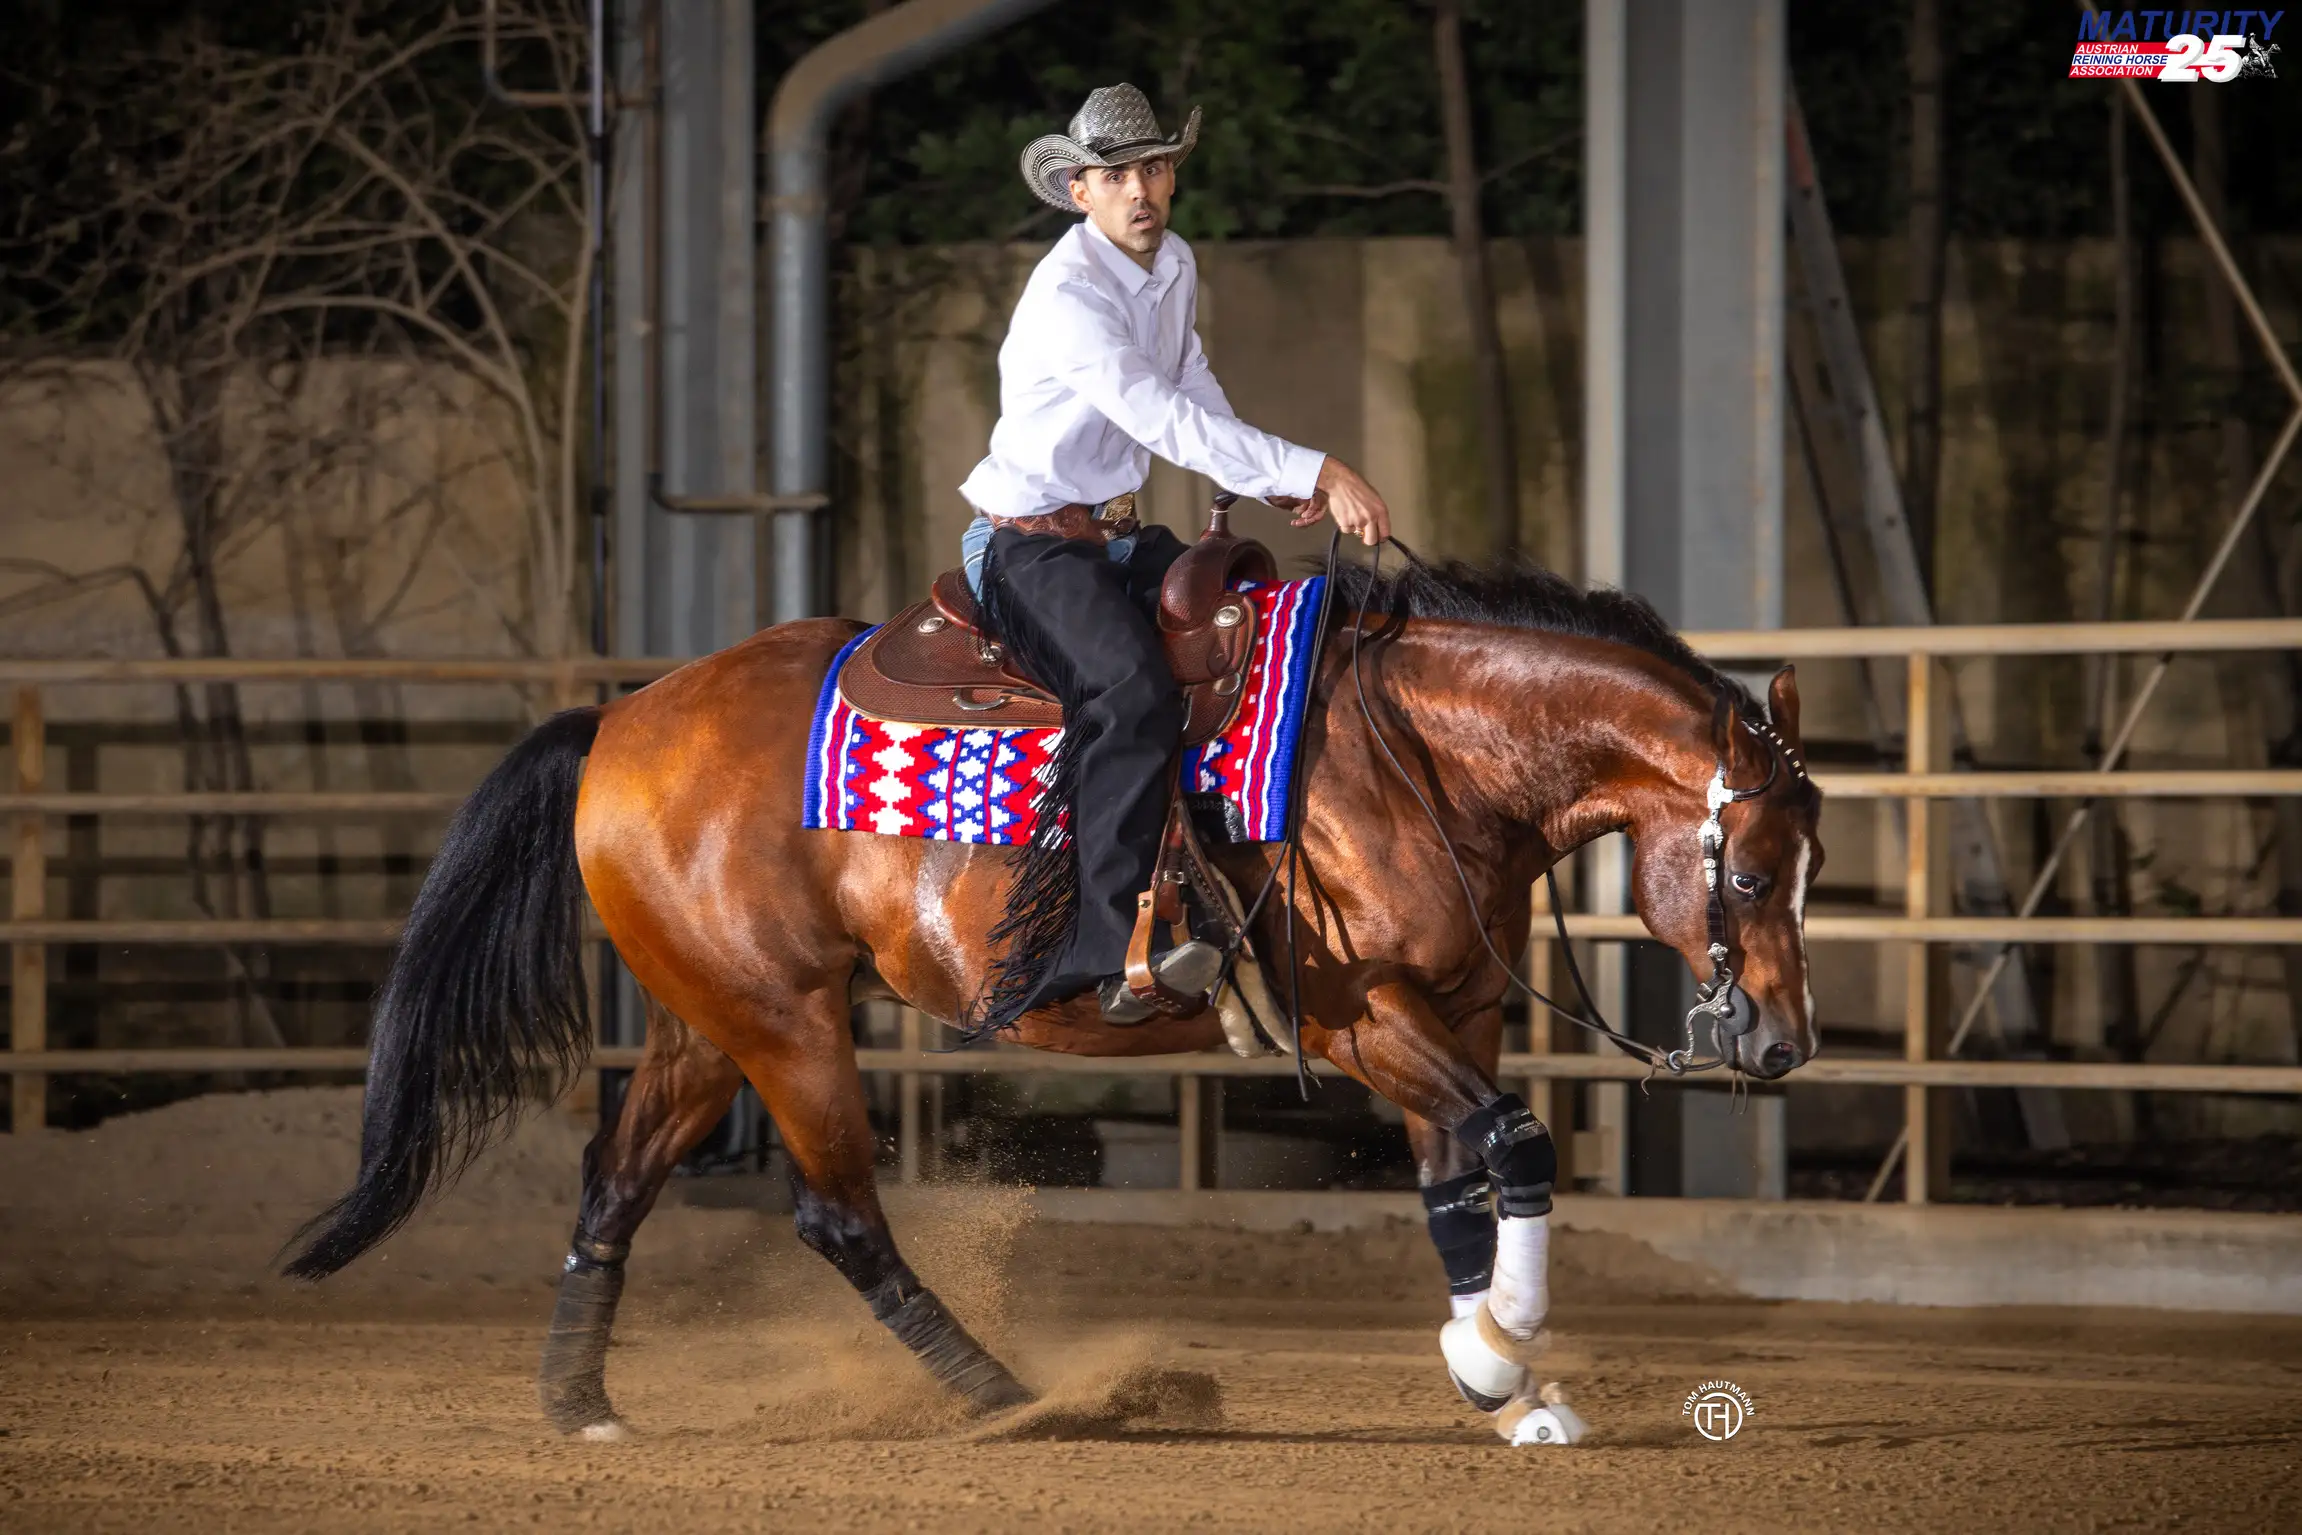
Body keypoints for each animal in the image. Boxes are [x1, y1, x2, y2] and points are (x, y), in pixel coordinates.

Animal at [284, 554, 1824, 1444]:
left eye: (1810, 864)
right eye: (1749, 869)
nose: (1783, 1042)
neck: (1412, 755)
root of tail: (618, 718)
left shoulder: (1457, 1012)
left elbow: (1464, 1177)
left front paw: (1494, 1368)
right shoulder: (1357, 1014)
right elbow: (1512, 1140)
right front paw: (1503, 1370)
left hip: (706, 1017)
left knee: (614, 1179)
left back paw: (580, 1402)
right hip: (787, 1026)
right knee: (838, 1215)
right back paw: (1016, 1399)